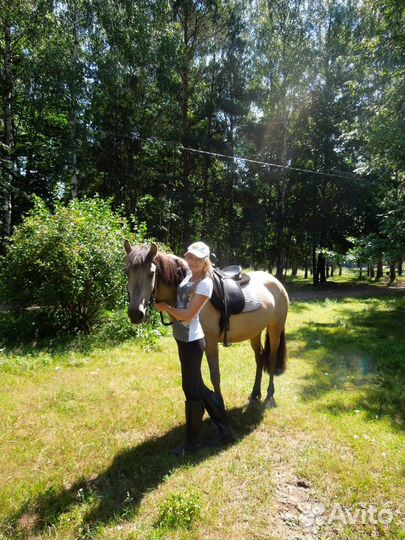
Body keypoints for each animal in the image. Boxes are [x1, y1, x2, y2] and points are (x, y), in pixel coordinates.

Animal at [124, 243, 288, 408]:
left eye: (151, 273)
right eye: (127, 272)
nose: (135, 313)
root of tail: (276, 282)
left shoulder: (210, 341)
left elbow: (214, 375)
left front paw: (219, 403)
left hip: (275, 329)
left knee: (271, 360)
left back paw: (270, 397)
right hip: (255, 331)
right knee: (259, 357)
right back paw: (255, 393)